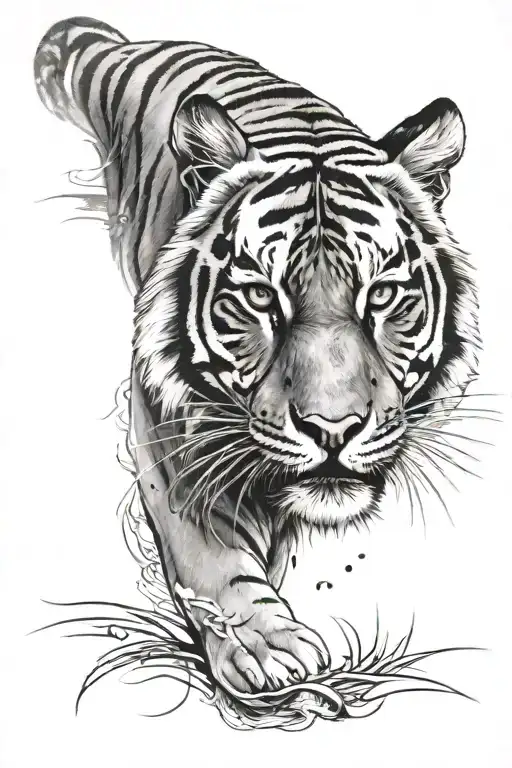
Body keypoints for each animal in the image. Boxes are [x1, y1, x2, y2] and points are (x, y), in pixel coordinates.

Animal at [34, 16, 481, 695]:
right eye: (261, 297)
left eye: (381, 295)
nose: (333, 430)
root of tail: (128, 46)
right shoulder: (171, 425)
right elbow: (211, 551)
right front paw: (264, 645)